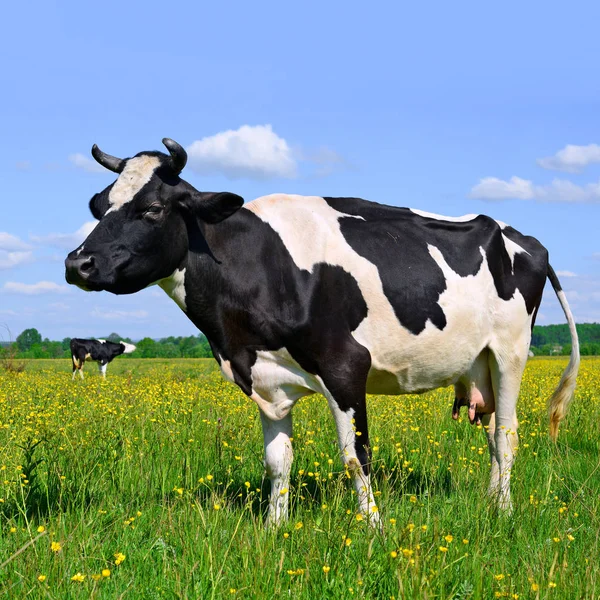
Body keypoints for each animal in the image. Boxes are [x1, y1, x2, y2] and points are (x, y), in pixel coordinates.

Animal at [63, 141, 580, 524]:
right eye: (100, 206)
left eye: (152, 209)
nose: (77, 263)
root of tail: (516, 235)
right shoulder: (267, 378)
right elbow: (277, 461)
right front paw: (273, 529)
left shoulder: (346, 367)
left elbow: (357, 457)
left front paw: (373, 529)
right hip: (479, 363)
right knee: (492, 431)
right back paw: (491, 503)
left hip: (510, 351)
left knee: (507, 435)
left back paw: (504, 512)